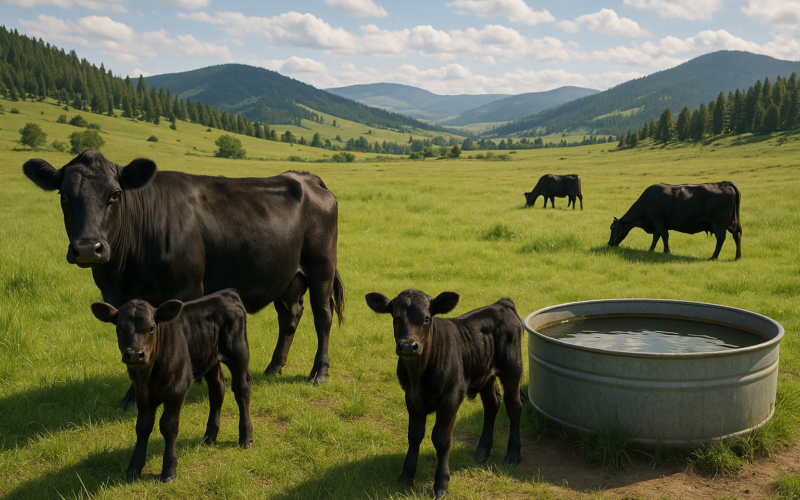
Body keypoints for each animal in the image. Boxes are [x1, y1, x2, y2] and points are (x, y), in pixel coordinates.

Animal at [23, 150, 344, 410]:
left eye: (114, 194)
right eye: (64, 195)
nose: (89, 248)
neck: (122, 275)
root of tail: (305, 177)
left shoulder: (185, 290)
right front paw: (131, 398)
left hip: (321, 267)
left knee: (322, 317)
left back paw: (319, 372)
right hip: (287, 277)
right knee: (289, 316)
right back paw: (274, 367)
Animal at [90, 289, 253, 483]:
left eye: (152, 328)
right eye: (118, 329)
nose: (135, 354)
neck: (149, 374)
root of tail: (226, 293)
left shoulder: (177, 389)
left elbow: (169, 426)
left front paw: (168, 470)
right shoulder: (141, 393)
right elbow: (142, 427)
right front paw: (133, 469)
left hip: (239, 353)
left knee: (242, 390)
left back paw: (246, 437)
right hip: (209, 358)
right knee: (217, 387)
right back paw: (210, 435)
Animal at [365, 290, 523, 499]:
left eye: (426, 318)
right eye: (395, 318)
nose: (408, 346)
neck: (418, 376)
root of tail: (501, 304)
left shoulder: (450, 397)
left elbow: (441, 439)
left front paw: (441, 483)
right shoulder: (411, 398)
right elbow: (414, 435)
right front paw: (406, 476)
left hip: (513, 369)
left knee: (514, 406)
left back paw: (513, 453)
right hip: (485, 372)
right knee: (492, 404)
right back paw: (482, 452)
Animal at [608, 181, 742, 260]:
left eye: (612, 228)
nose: (609, 243)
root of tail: (725, 183)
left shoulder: (658, 220)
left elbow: (664, 235)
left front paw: (667, 251)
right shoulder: (656, 223)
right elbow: (656, 237)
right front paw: (651, 250)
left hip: (718, 223)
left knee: (721, 237)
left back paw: (714, 256)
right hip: (733, 222)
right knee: (737, 235)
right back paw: (737, 256)